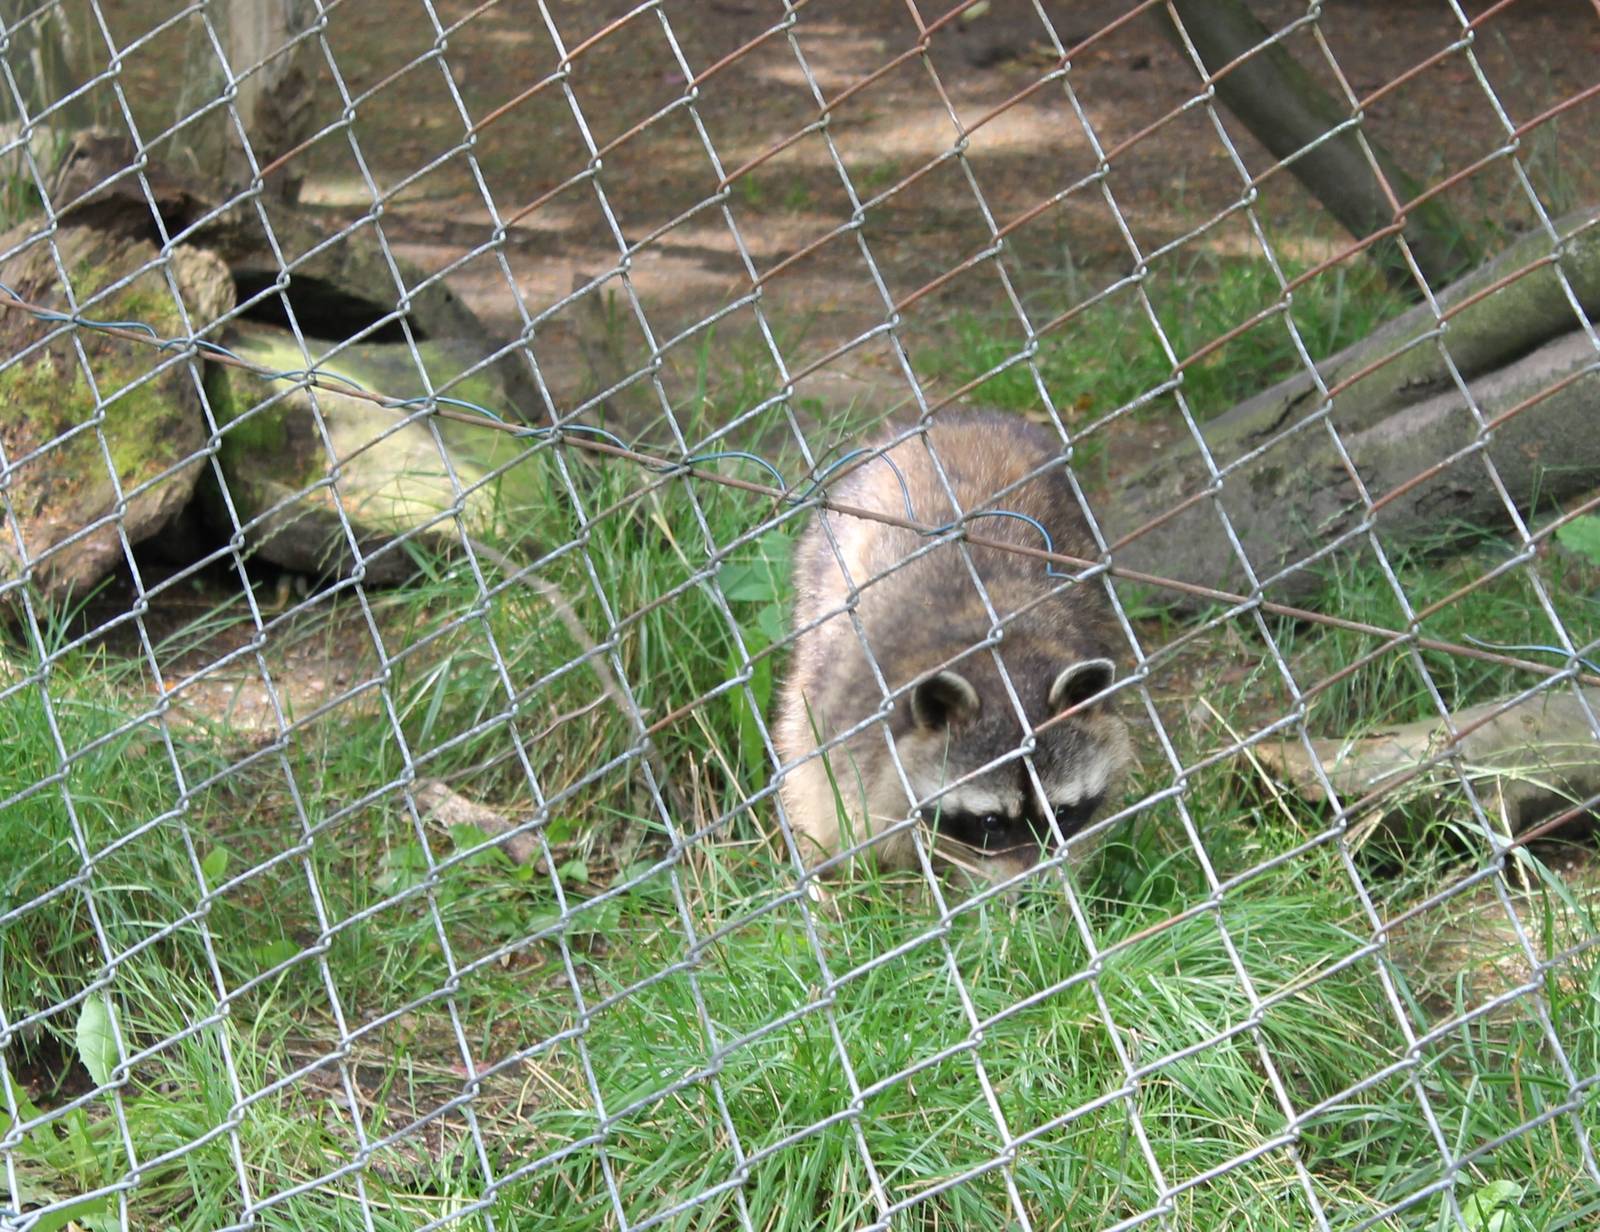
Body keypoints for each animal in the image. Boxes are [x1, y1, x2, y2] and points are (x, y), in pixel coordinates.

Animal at [772, 409, 1131, 884]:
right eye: (991, 822)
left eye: (1061, 812)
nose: (1030, 889)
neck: (1000, 658)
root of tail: (957, 421)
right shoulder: (848, 714)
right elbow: (828, 792)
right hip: (818, 561)